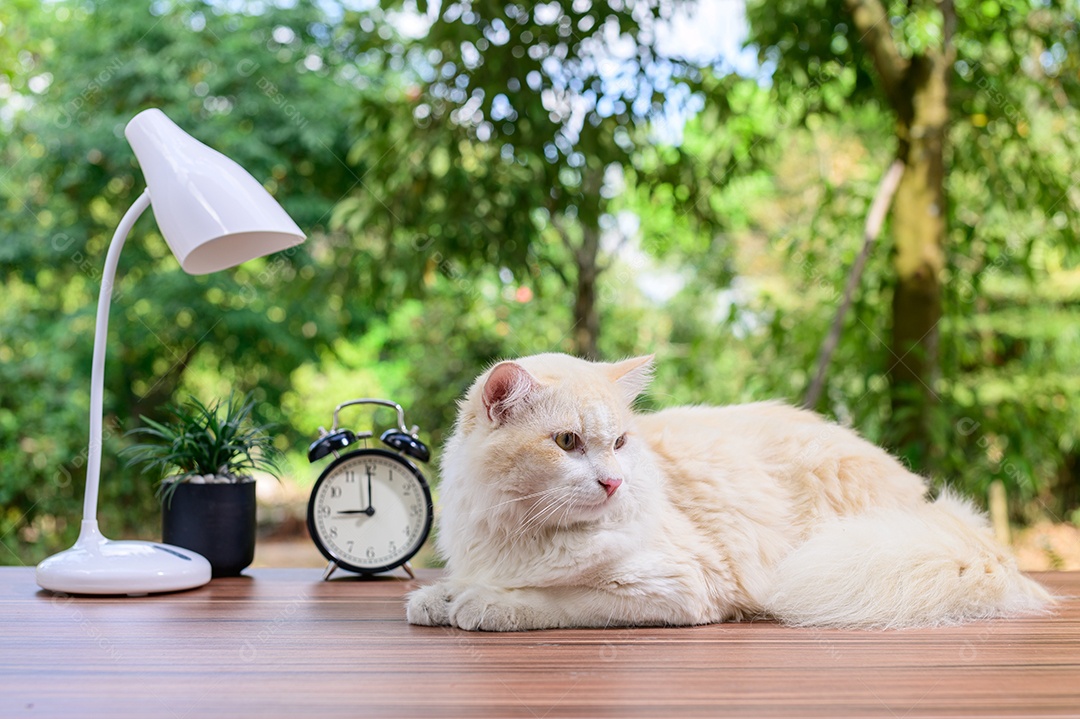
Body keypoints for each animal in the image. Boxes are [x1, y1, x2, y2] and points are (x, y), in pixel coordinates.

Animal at [406, 351, 1045, 626]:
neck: (519, 530)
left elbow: (554, 599)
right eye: (566, 442)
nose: (614, 482)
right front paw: (440, 598)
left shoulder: (677, 587)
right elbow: (461, 584)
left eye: (619, 442)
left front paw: (486, 605)